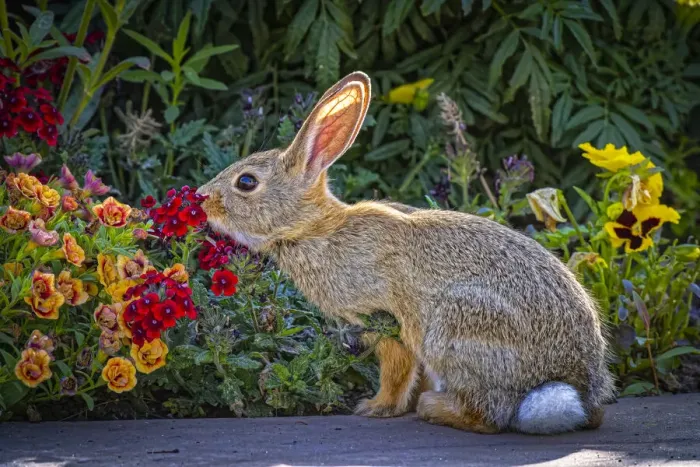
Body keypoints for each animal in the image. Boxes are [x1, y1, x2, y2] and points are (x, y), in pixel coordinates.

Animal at [197, 71, 615, 435]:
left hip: (456, 329)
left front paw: (376, 408)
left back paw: (434, 408)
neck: (312, 229)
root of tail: (579, 389)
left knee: (488, 415)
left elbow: (396, 368)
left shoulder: (383, 317)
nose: (202, 198)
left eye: (246, 182)